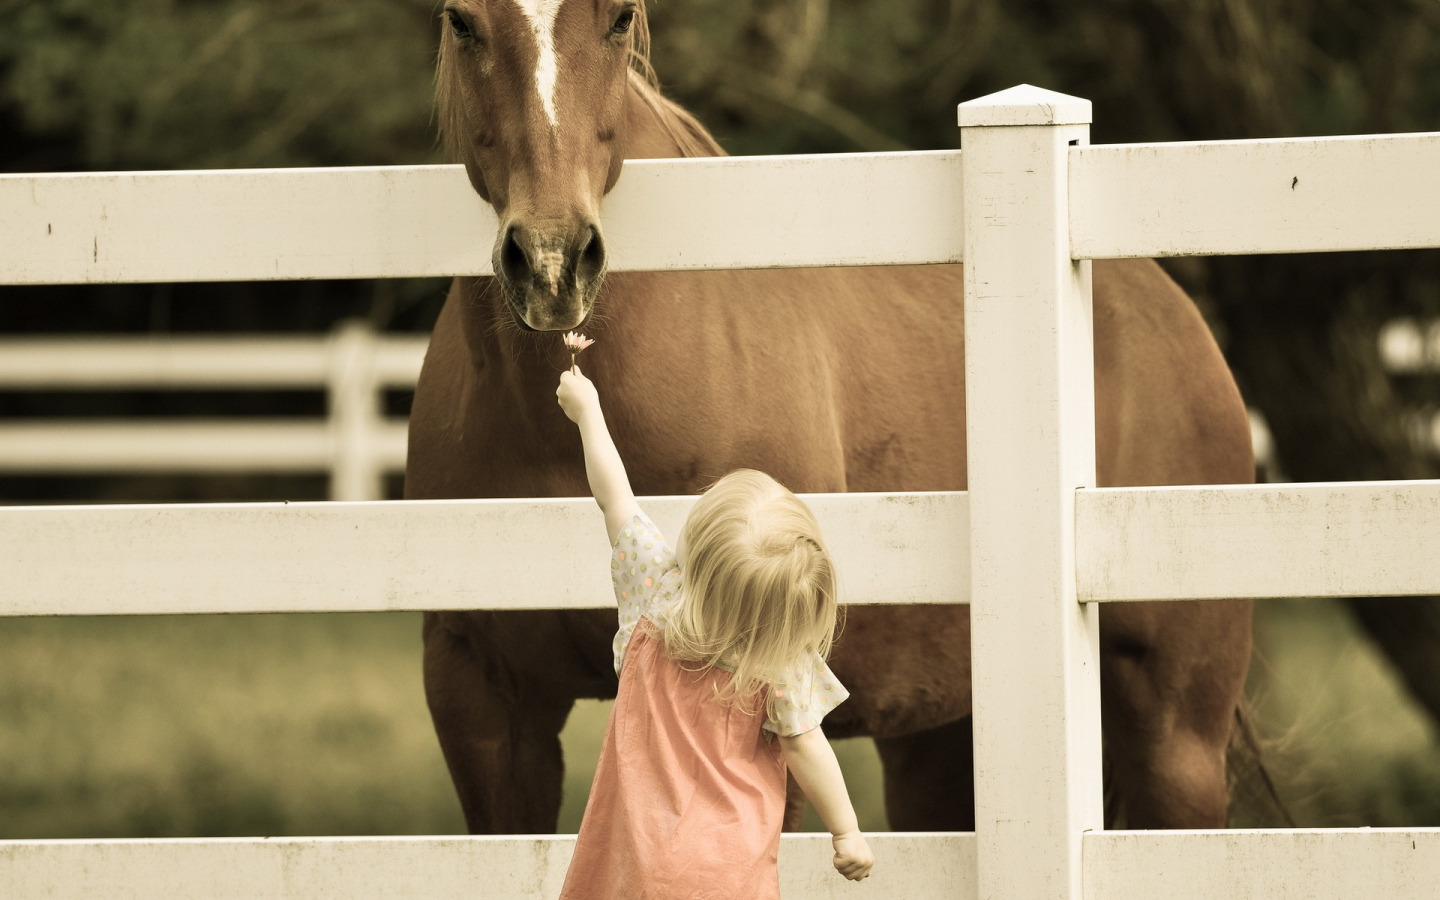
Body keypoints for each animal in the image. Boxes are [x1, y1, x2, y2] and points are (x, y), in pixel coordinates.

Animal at [406, 0, 1249, 829]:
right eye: (461, 21)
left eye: (617, 19)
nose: (552, 263)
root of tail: (1171, 308)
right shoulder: (483, 702)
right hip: (938, 738)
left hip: (1175, 741)